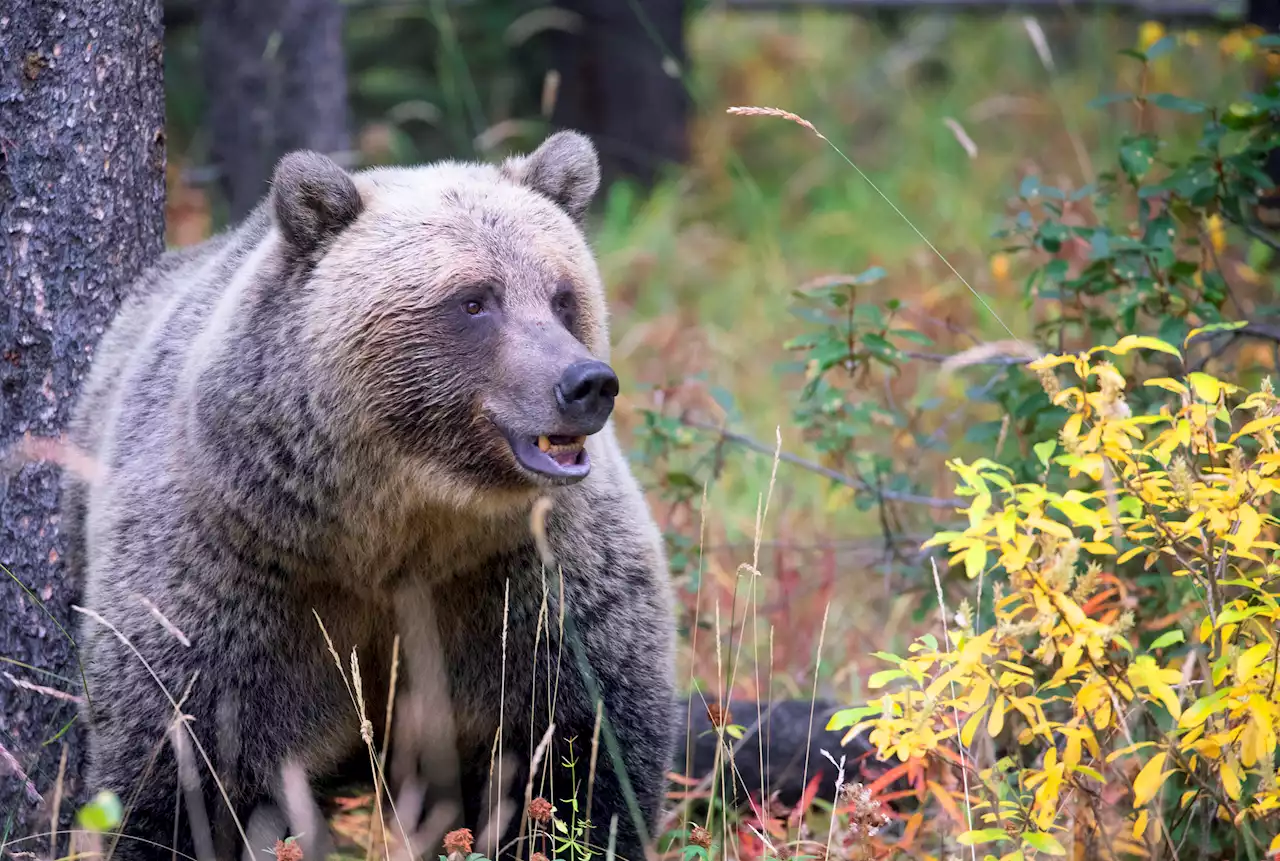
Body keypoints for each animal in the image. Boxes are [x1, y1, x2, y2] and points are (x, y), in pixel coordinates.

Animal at [62, 132, 680, 859]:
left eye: (562, 295)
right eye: (475, 299)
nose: (586, 383)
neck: (393, 525)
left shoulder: (527, 584)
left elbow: (582, 747)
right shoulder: (233, 574)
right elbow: (176, 759)